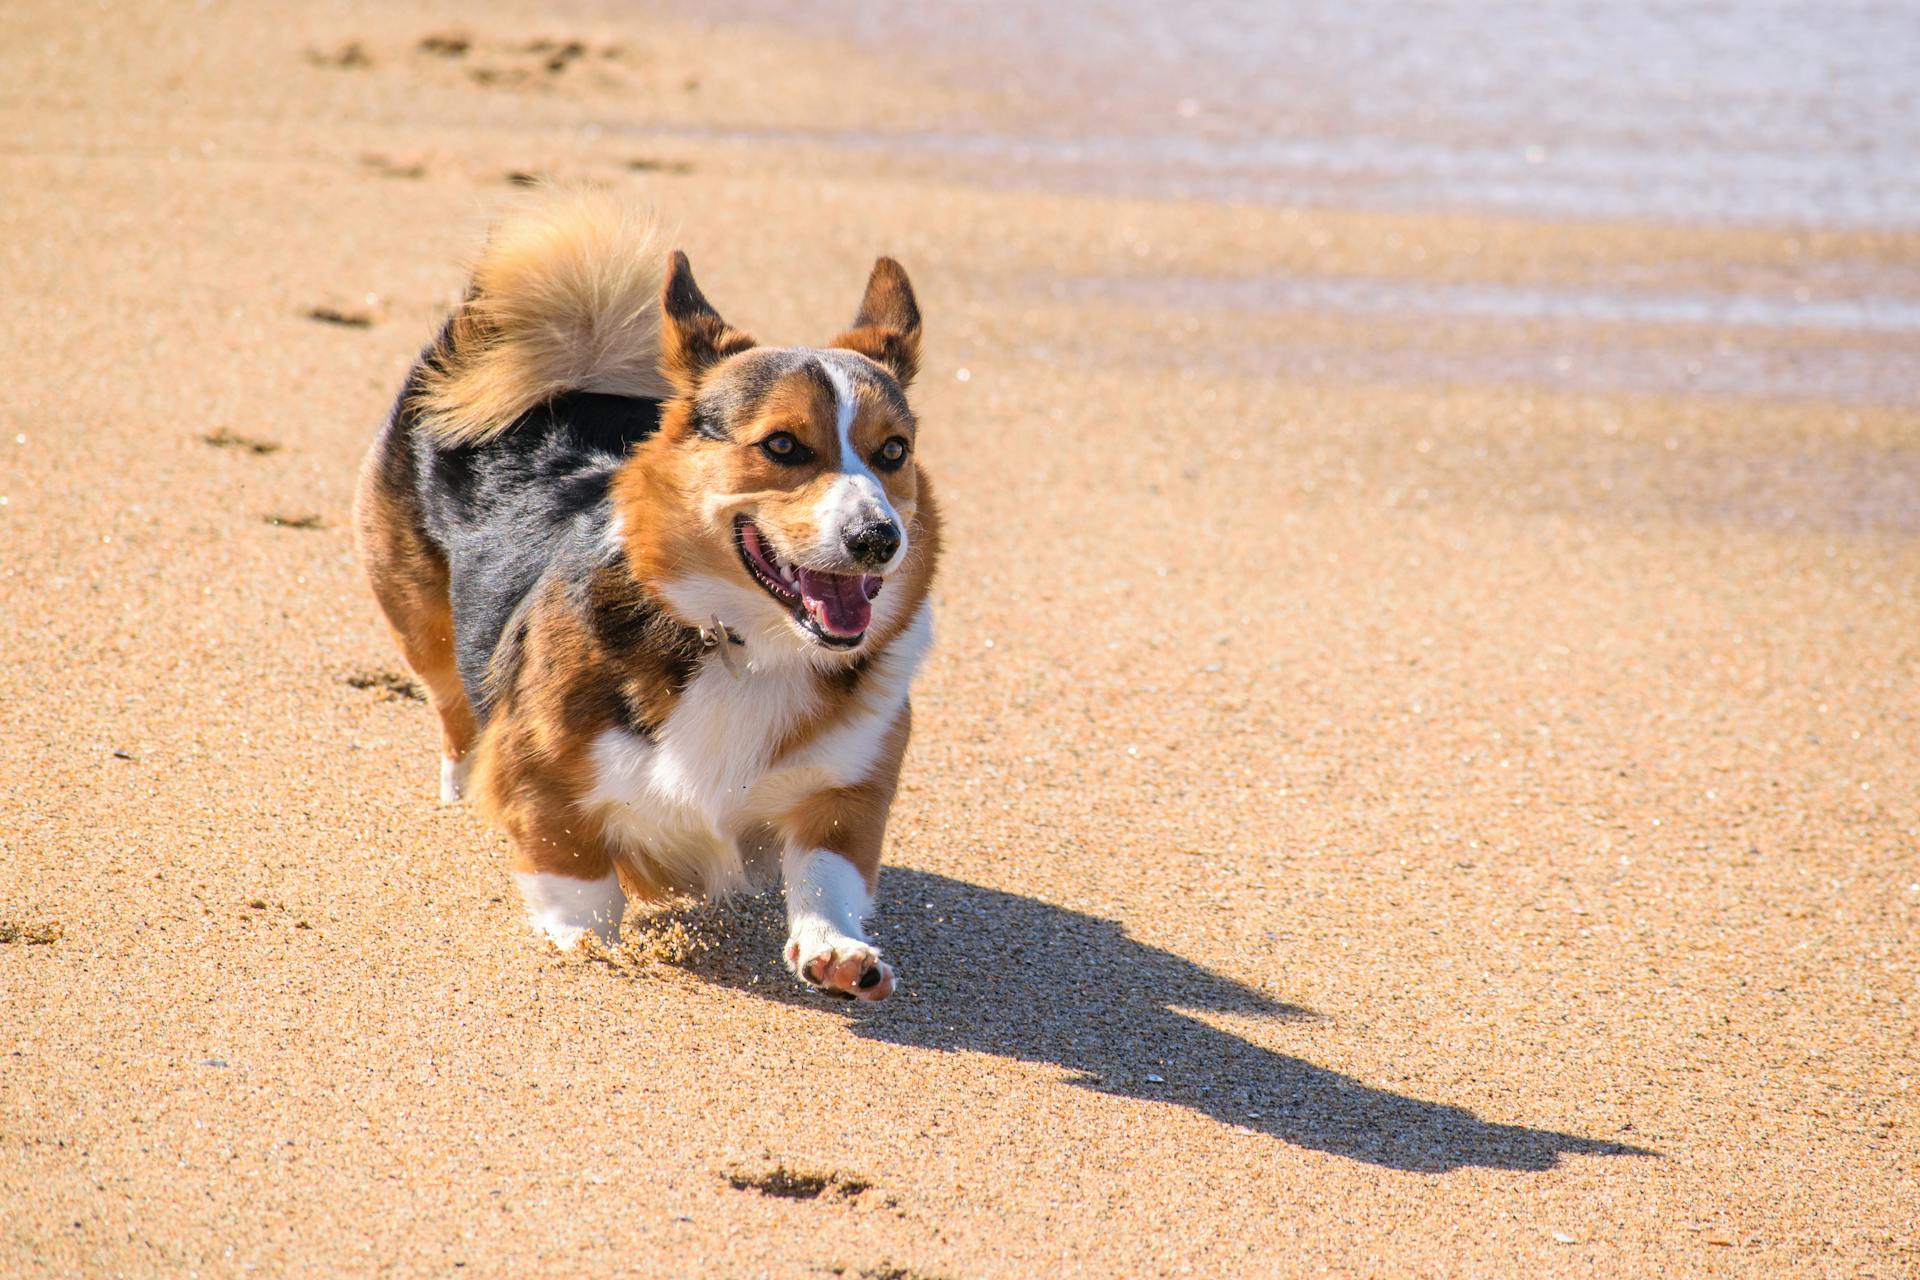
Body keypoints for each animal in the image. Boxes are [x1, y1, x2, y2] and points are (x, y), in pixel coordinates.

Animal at [357, 192, 940, 997]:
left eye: (893, 452)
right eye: (782, 445)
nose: (879, 538)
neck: (742, 646)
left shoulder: (849, 786)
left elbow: (830, 872)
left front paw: (838, 951)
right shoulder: (540, 773)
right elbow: (577, 873)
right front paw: (584, 945)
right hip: (423, 625)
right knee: (452, 707)